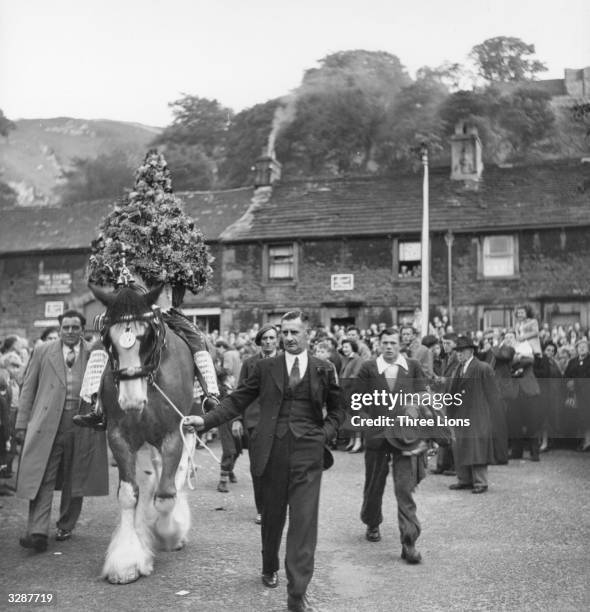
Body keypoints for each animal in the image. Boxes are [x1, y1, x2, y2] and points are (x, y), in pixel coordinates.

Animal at [90, 284, 197, 584]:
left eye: (147, 336)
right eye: (108, 339)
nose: (131, 400)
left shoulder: (173, 434)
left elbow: (166, 496)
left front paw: (168, 533)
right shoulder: (119, 437)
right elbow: (129, 495)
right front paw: (127, 561)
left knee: (176, 472)